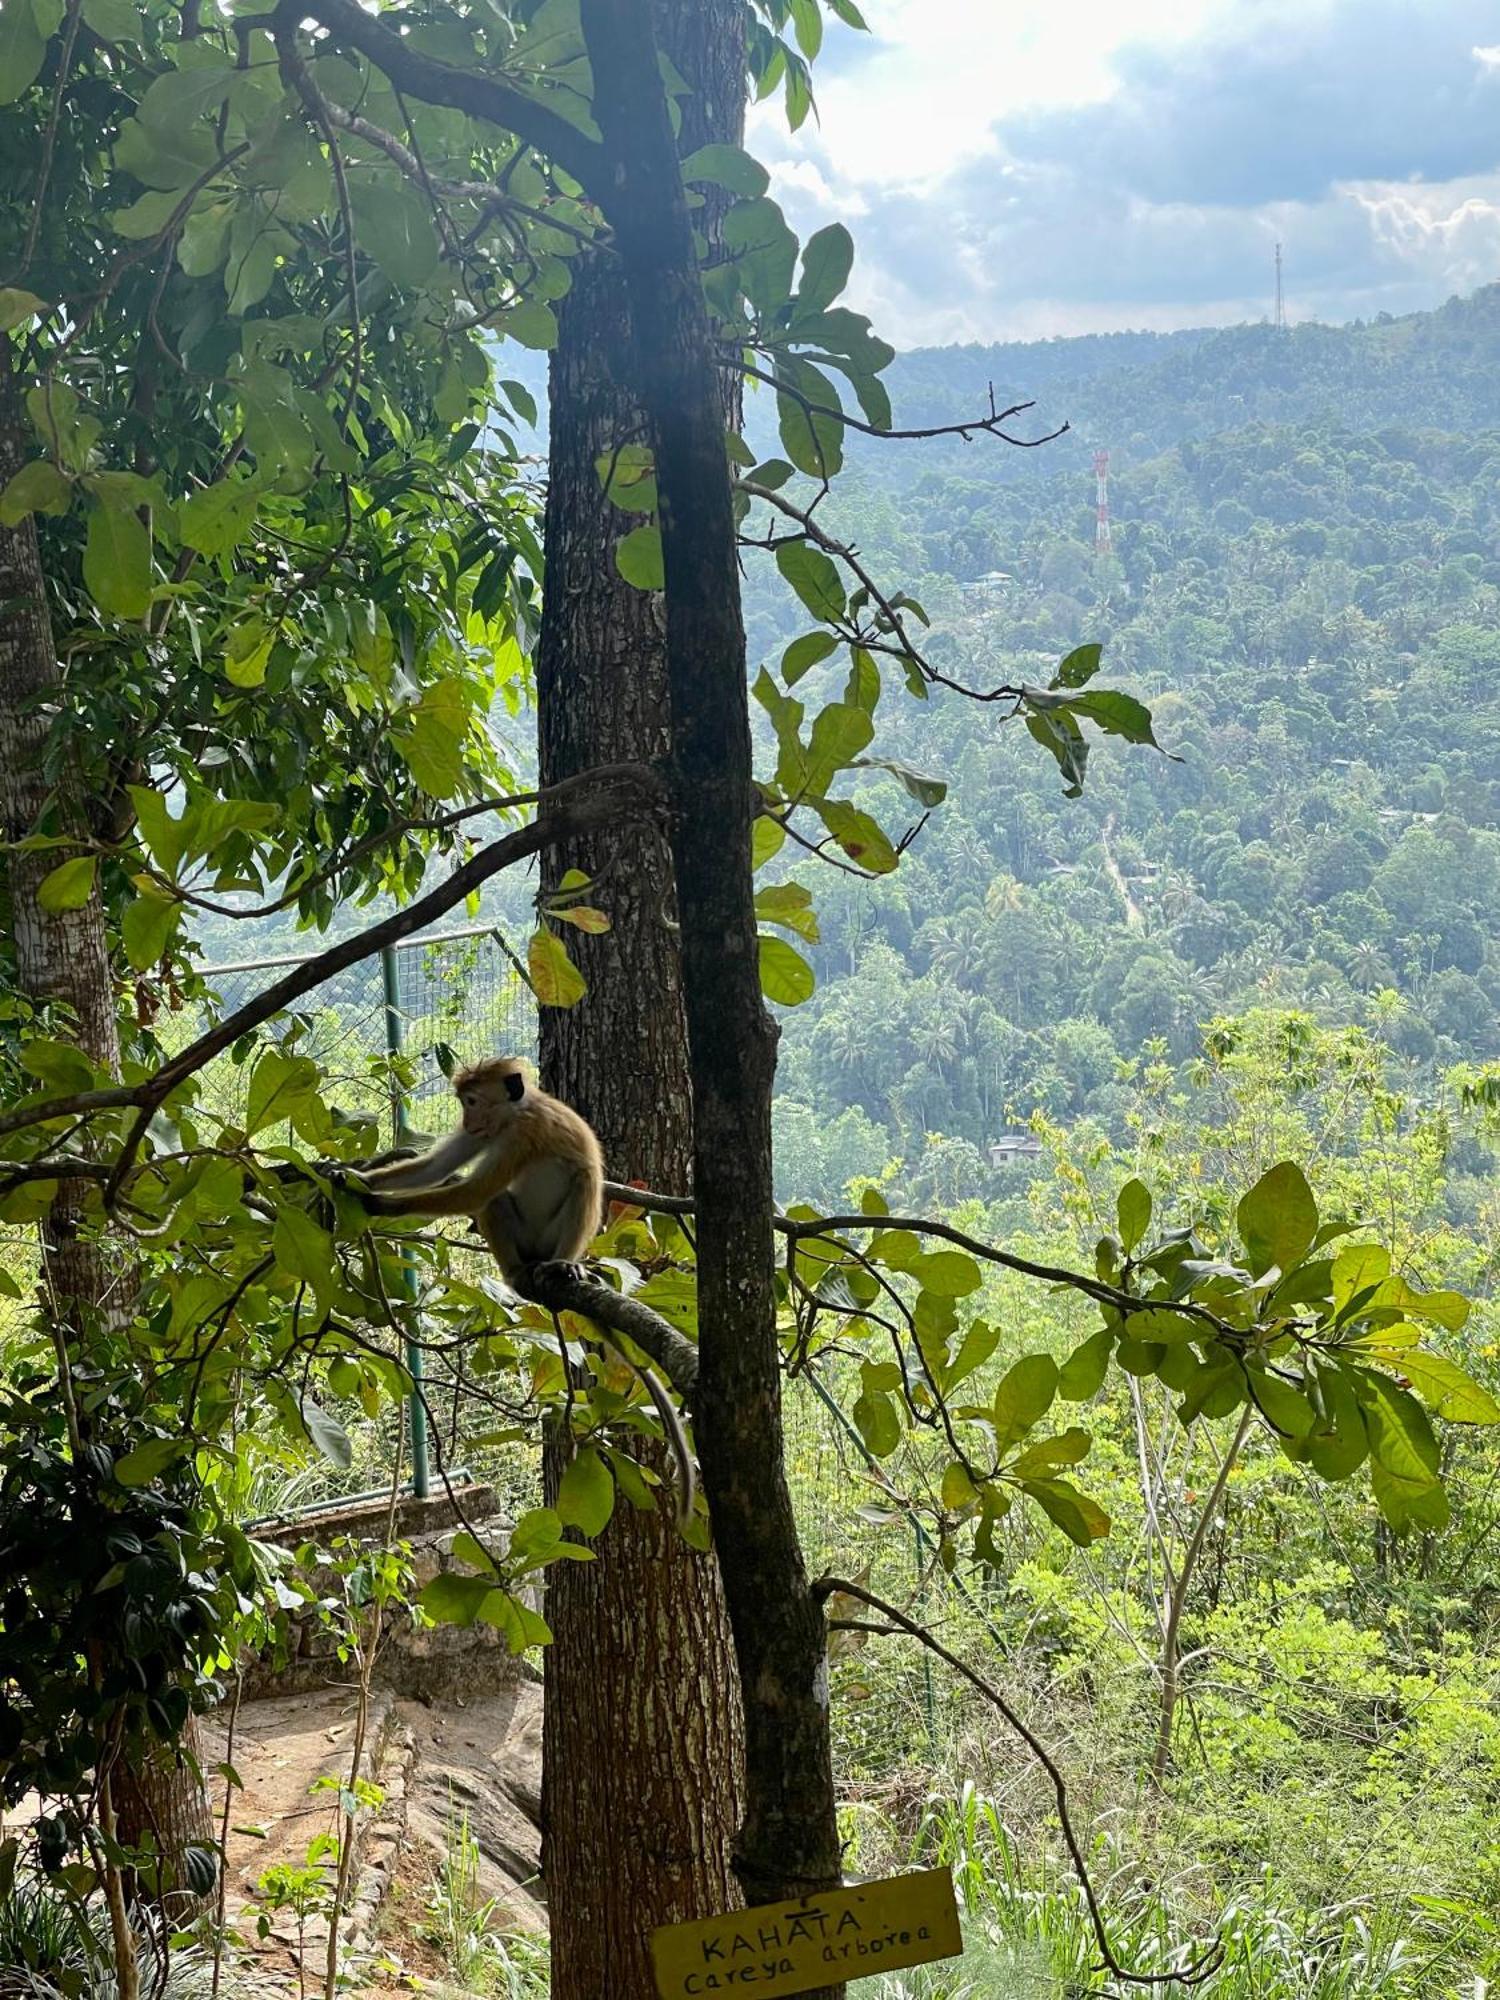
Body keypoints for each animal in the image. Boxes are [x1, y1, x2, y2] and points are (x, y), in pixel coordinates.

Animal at [350, 1064, 696, 1528]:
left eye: (472, 1101)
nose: (467, 1120)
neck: (514, 1114)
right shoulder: (490, 1134)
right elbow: (437, 1167)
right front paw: (352, 1179)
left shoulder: (521, 1135)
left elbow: (472, 1191)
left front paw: (380, 1204)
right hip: (524, 1238)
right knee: (498, 1201)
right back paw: (517, 1271)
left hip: (554, 1236)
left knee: (580, 1180)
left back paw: (560, 1266)